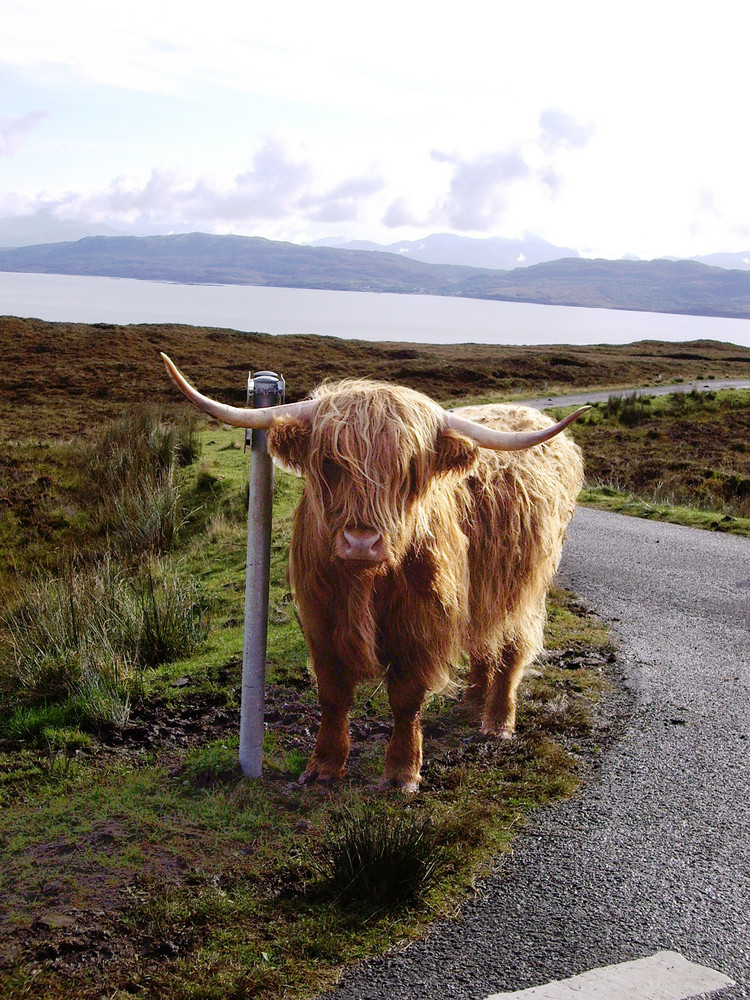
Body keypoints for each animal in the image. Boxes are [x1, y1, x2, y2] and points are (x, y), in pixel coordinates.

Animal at [162, 356, 592, 792]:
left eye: (409, 467)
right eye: (330, 463)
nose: (361, 542)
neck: (364, 585)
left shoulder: (420, 624)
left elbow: (406, 699)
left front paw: (402, 771)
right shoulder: (320, 620)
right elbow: (333, 694)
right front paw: (324, 764)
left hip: (524, 590)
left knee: (510, 650)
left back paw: (498, 722)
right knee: (482, 644)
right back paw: (472, 701)